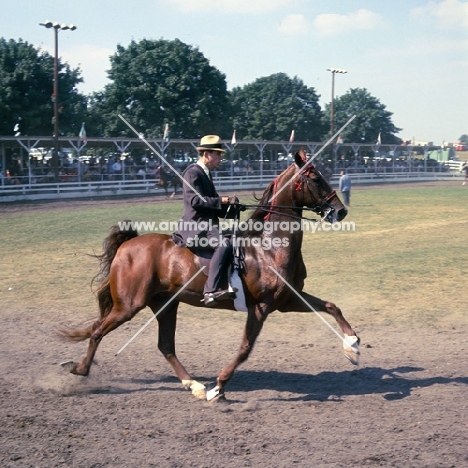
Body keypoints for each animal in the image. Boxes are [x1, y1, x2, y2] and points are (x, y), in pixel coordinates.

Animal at [62, 152, 360, 400]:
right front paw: (219, 387)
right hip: (129, 306)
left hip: (165, 304)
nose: (341, 210)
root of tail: (128, 244)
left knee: (165, 346)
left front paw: (353, 346)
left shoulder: (287, 300)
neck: (269, 246)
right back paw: (80, 371)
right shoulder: (261, 307)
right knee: (98, 331)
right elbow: (245, 348)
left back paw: (193, 385)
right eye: (316, 178)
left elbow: (332, 306)